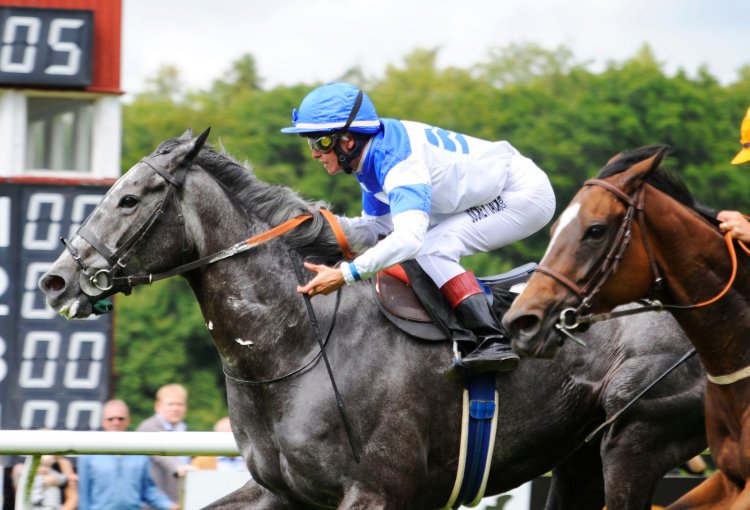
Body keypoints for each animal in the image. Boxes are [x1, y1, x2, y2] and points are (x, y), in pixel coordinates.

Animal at [39, 132, 712, 510]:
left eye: (129, 199)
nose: (56, 280)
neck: (297, 345)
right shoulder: (281, 491)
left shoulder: (378, 490)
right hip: (581, 455)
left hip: (637, 436)